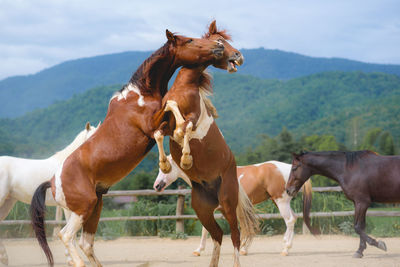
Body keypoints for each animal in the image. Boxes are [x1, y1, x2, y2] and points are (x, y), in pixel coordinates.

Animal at [30, 29, 227, 267]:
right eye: (189, 40)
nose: (218, 47)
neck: (140, 94)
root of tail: (52, 182)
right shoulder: (152, 125)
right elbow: (171, 108)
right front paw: (170, 162)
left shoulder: (163, 123)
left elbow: (178, 117)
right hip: (83, 209)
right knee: (66, 235)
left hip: (95, 207)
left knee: (86, 243)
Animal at [153, 23, 260, 267]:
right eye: (219, 41)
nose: (239, 56)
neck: (184, 88)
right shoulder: (165, 124)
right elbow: (159, 131)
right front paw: (165, 164)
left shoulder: (192, 120)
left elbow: (183, 129)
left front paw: (185, 159)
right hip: (202, 209)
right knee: (217, 234)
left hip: (228, 203)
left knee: (235, 235)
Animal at [153, 157, 312, 258]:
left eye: (165, 168)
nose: (157, 186)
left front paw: (199, 250)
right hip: (279, 201)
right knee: (294, 218)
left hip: (281, 201)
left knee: (290, 220)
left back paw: (285, 249)